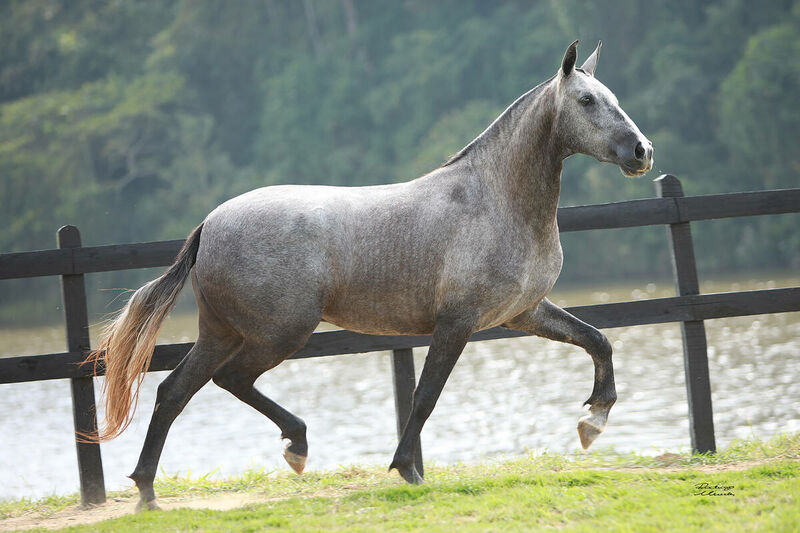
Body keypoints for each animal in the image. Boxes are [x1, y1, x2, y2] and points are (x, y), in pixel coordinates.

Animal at [89, 40, 653, 511]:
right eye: (586, 100)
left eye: (612, 97)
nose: (641, 152)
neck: (495, 200)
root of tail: (210, 223)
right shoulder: (458, 322)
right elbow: (424, 396)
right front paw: (408, 472)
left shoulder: (523, 313)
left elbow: (598, 339)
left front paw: (593, 421)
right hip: (280, 332)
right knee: (229, 380)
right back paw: (295, 447)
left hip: (220, 332)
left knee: (174, 392)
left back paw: (147, 492)